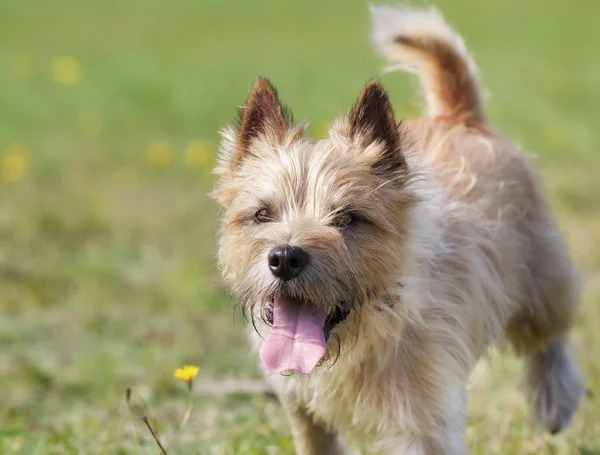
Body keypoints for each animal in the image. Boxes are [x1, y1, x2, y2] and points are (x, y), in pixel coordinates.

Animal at [212, 5, 584, 454]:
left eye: (347, 218)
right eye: (263, 214)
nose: (284, 258)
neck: (361, 334)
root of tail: (457, 117)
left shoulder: (423, 421)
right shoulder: (301, 406)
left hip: (540, 283)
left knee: (550, 336)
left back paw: (555, 399)